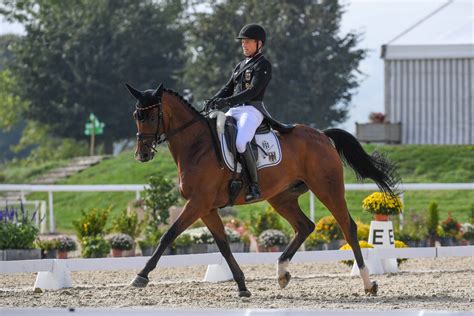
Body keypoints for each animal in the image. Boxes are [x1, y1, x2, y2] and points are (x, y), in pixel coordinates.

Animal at [126, 82, 400, 298]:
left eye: (151, 116)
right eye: (136, 115)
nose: (142, 155)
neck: (197, 146)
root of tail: (322, 136)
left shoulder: (197, 203)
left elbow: (168, 235)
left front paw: (141, 276)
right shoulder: (207, 208)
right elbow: (223, 245)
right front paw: (242, 286)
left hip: (328, 189)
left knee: (348, 227)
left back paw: (368, 283)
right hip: (282, 197)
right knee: (305, 226)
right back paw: (282, 273)